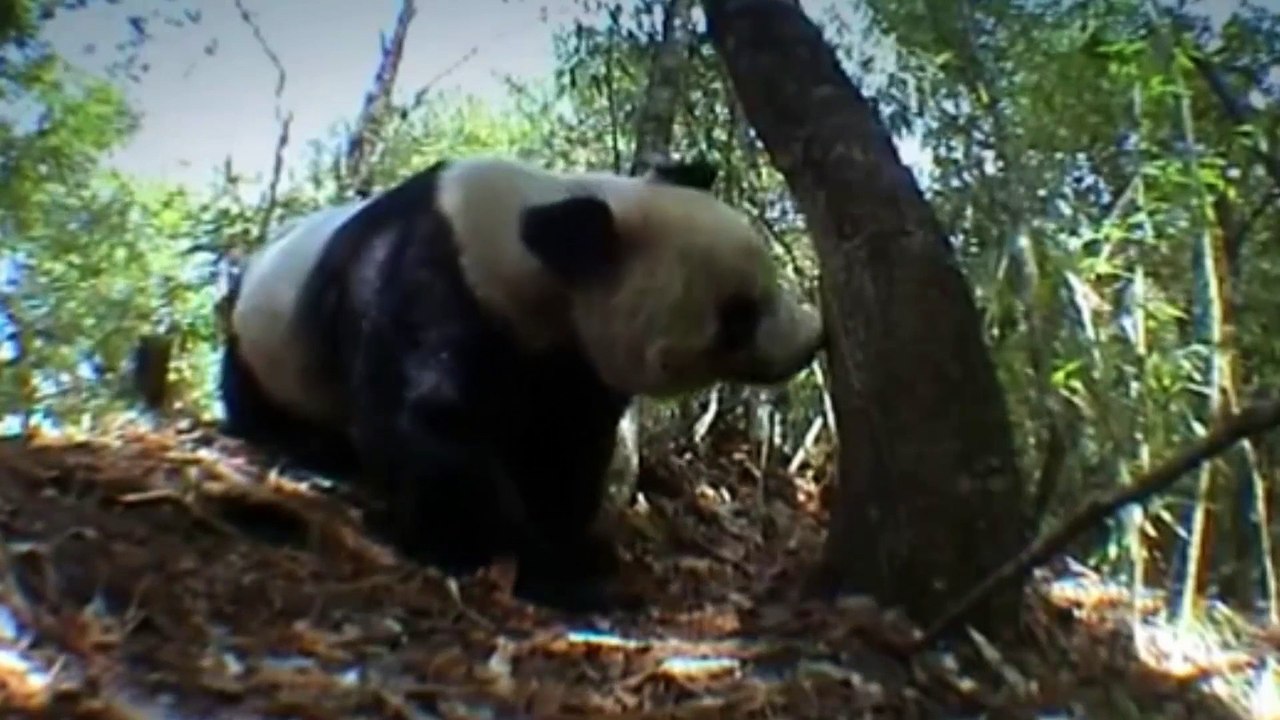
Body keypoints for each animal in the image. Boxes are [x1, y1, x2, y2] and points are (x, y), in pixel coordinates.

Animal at [218, 155, 824, 612]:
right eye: (738, 315)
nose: (812, 339)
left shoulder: (566, 358)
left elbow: (564, 446)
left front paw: (576, 548)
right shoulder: (429, 283)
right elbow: (428, 425)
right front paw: (539, 568)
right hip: (262, 335)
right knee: (257, 397)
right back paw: (308, 446)